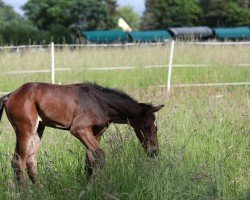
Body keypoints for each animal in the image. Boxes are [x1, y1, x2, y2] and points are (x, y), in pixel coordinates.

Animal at [0, 82, 164, 184]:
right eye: (147, 127)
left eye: (156, 128)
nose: (154, 152)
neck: (101, 102)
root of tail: (10, 95)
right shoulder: (79, 129)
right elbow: (100, 156)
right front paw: (99, 187)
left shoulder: (97, 133)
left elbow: (90, 162)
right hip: (25, 130)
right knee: (18, 161)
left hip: (38, 130)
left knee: (30, 161)